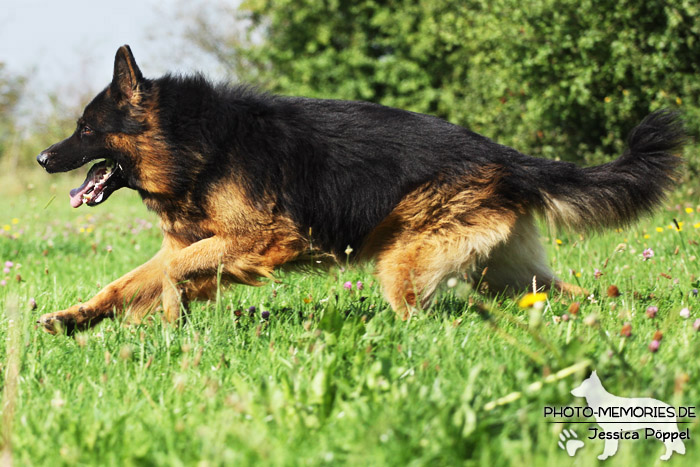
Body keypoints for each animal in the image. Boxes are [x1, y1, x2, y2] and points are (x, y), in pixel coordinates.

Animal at [37, 45, 684, 334]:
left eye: (86, 130)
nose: (44, 158)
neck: (194, 141)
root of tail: (505, 156)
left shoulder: (265, 239)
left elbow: (171, 274)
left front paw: (169, 314)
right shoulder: (189, 242)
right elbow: (127, 281)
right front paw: (75, 319)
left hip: (404, 265)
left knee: (426, 319)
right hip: (503, 272)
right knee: (572, 294)